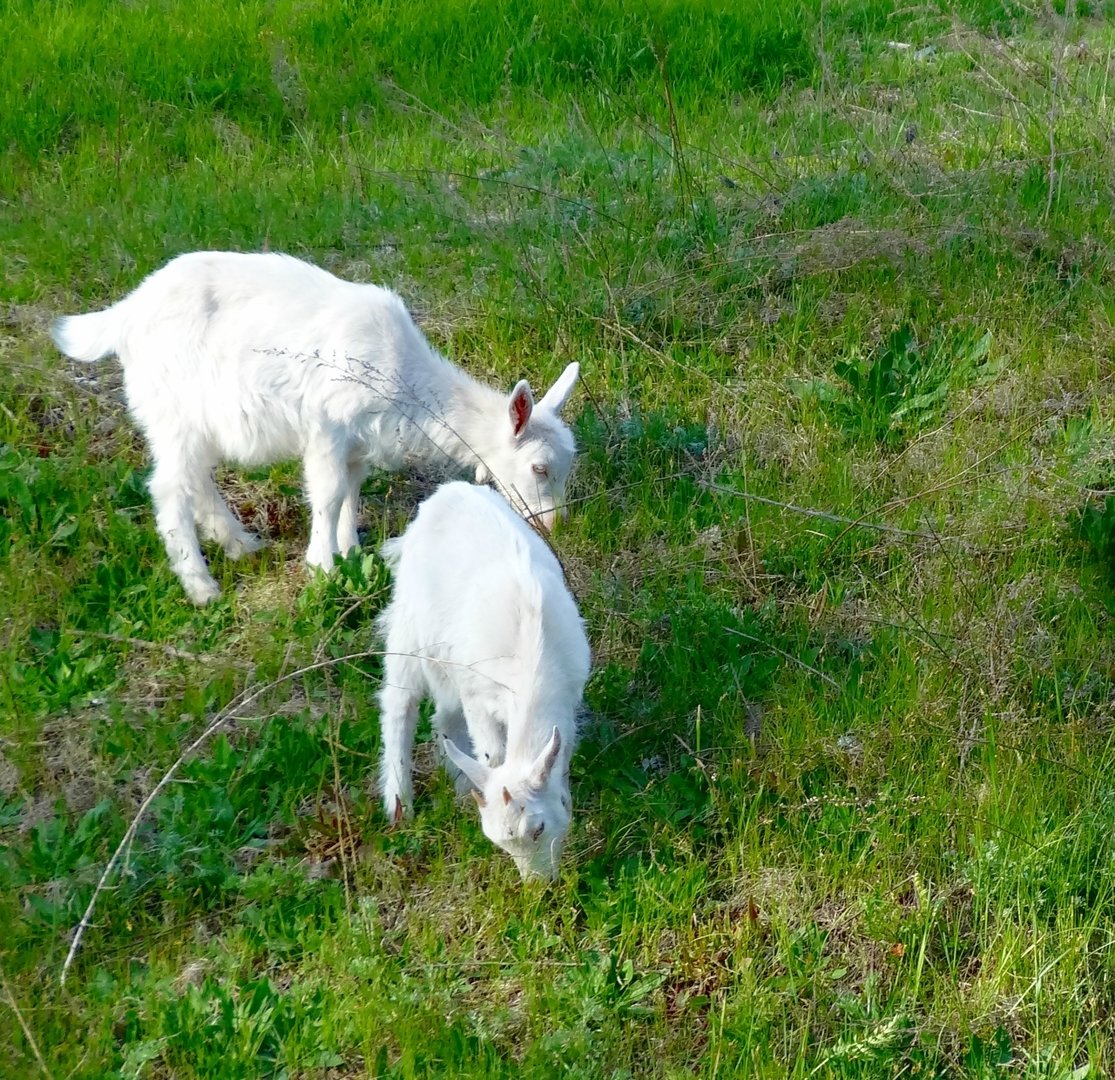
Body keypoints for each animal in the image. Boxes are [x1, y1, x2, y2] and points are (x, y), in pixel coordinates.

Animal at [49, 253, 579, 606]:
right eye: (539, 468)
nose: (553, 527)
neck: (401, 376)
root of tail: (123, 314)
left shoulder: (361, 441)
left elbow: (351, 492)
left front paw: (350, 550)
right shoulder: (327, 425)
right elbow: (328, 494)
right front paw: (322, 568)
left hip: (195, 422)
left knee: (195, 479)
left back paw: (240, 545)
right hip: (171, 410)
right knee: (169, 489)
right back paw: (201, 585)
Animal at [376, 481, 593, 878]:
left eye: (538, 828)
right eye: (499, 842)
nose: (539, 885)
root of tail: (446, 491)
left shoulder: (569, 698)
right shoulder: (477, 697)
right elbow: (493, 754)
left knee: (443, 715)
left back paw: (461, 784)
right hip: (409, 626)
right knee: (399, 703)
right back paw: (399, 803)